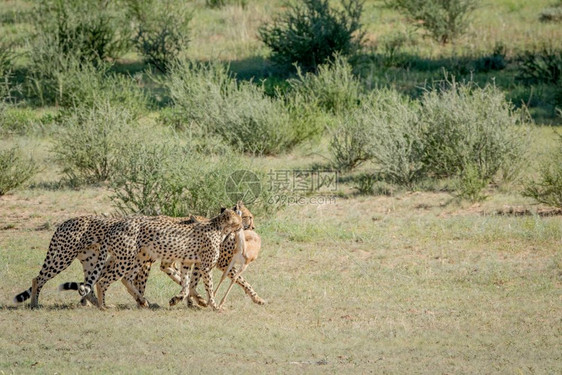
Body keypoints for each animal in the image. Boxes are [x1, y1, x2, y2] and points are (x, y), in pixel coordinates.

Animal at [91, 209, 241, 312]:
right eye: (239, 220)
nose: (242, 227)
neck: (219, 227)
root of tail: (117, 225)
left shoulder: (186, 262)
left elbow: (186, 284)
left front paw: (176, 299)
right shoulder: (206, 266)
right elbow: (209, 287)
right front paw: (215, 306)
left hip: (138, 258)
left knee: (126, 279)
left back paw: (142, 301)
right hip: (125, 259)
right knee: (102, 281)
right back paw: (103, 306)